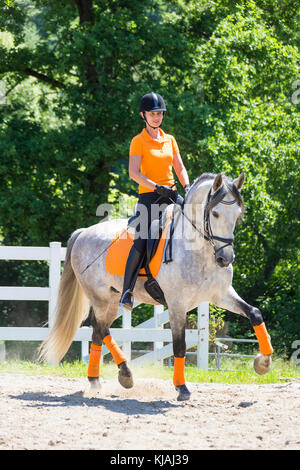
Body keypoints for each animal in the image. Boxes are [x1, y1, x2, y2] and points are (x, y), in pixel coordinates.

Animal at [38, 173, 274, 400]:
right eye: (215, 213)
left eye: (238, 215)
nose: (225, 258)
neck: (199, 252)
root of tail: (83, 233)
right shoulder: (177, 304)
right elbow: (179, 345)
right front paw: (182, 388)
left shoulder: (221, 295)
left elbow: (254, 313)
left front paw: (263, 363)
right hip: (100, 297)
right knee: (100, 327)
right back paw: (125, 374)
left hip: (112, 300)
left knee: (98, 330)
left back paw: (98, 380)